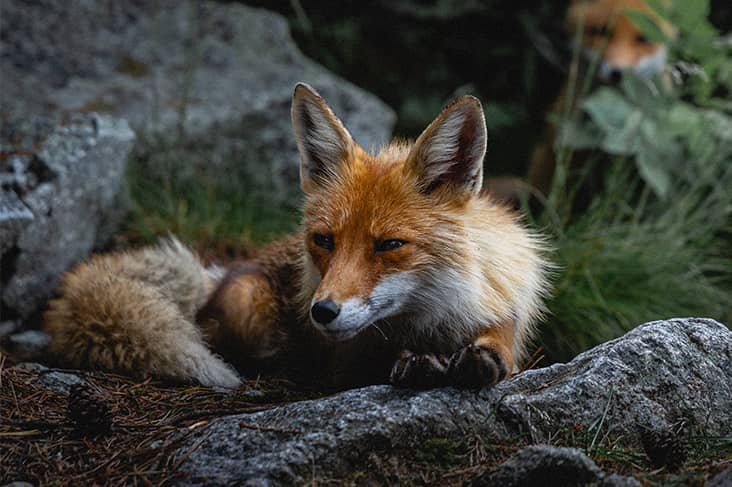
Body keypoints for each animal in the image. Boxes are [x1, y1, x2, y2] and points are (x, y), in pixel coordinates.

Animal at [44, 83, 551, 390]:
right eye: (325, 240)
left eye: (390, 245)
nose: (321, 312)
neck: (432, 318)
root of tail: (219, 271)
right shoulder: (345, 359)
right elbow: (369, 359)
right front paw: (415, 361)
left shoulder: (505, 302)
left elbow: (501, 338)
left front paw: (485, 355)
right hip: (247, 304)